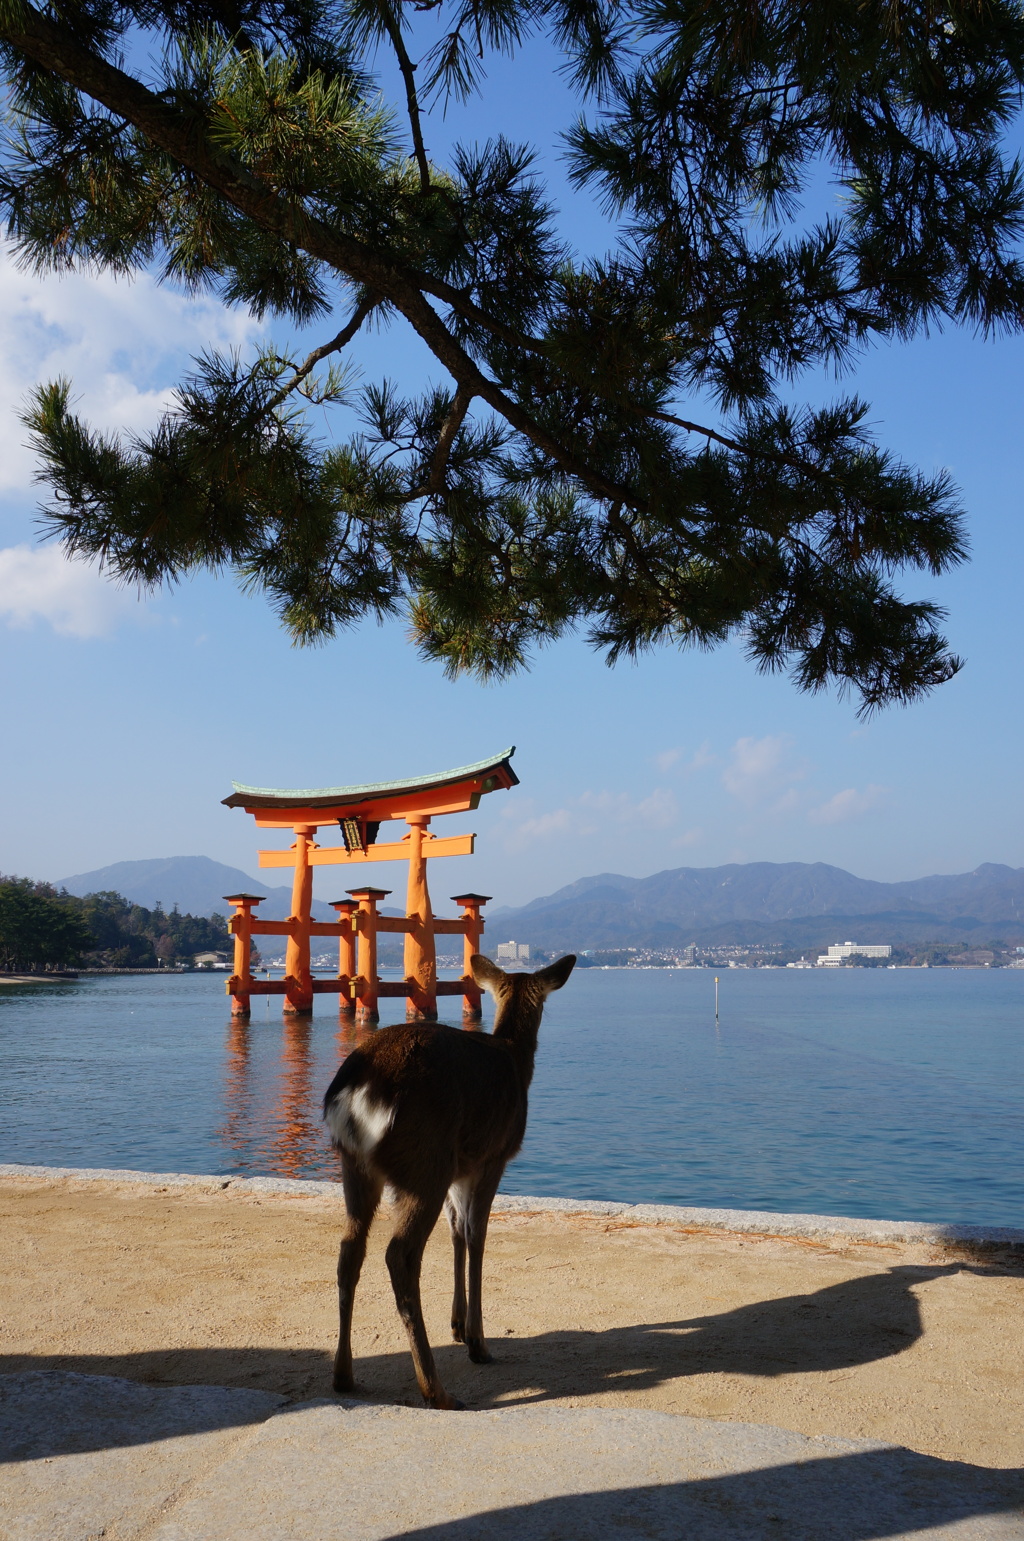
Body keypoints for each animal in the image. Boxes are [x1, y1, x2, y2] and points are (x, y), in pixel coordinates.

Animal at [321, 949, 575, 1411]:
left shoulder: (462, 1167)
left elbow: (456, 1231)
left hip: (357, 1166)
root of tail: (358, 1091)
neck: (515, 1059)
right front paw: (477, 1342)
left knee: (349, 1249)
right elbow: (476, 1235)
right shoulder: (493, 1157)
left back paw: (344, 1375)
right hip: (425, 1161)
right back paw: (436, 1389)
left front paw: (456, 1325)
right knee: (399, 1254)